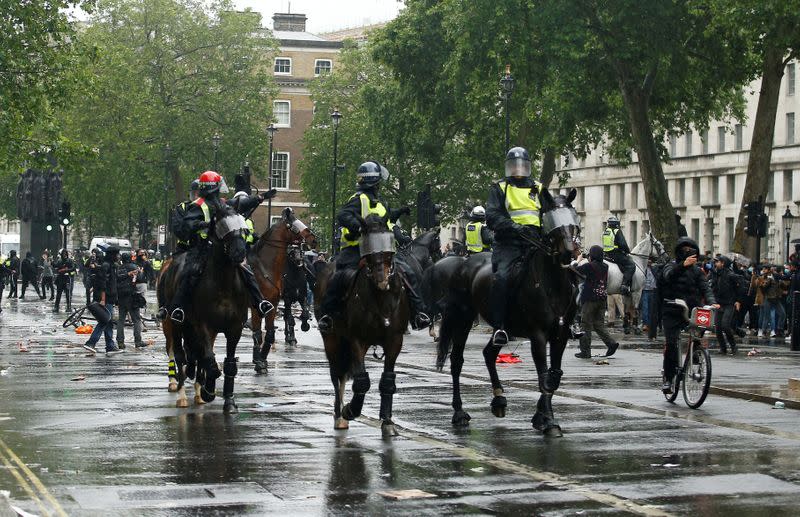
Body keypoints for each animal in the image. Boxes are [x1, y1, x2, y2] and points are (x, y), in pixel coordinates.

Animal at [159, 204, 252, 414]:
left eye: (243, 226)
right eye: (221, 225)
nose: (239, 252)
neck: (223, 283)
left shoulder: (234, 328)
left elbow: (227, 364)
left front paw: (228, 402)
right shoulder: (203, 325)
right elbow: (209, 360)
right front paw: (208, 391)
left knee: (193, 355)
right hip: (174, 324)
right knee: (178, 354)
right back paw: (182, 394)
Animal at [250, 206, 316, 370]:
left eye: (300, 250)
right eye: (293, 225)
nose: (314, 239)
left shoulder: (280, 302)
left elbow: (303, 313)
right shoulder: (268, 303)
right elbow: (260, 331)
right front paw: (259, 361)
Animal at [312, 213, 410, 436]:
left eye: (388, 251)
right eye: (369, 252)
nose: (382, 279)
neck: (381, 299)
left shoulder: (394, 340)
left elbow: (387, 380)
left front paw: (388, 421)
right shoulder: (357, 340)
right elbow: (362, 381)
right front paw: (350, 410)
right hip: (332, 339)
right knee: (337, 374)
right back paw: (339, 415)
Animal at [438, 188, 580, 436]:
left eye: (573, 221)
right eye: (551, 222)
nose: (568, 255)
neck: (552, 284)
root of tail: (462, 263)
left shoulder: (560, 335)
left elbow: (554, 376)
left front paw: (540, 416)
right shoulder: (538, 335)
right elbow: (544, 375)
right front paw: (550, 422)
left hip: (499, 328)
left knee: (489, 353)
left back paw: (499, 400)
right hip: (463, 318)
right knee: (456, 361)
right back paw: (459, 413)